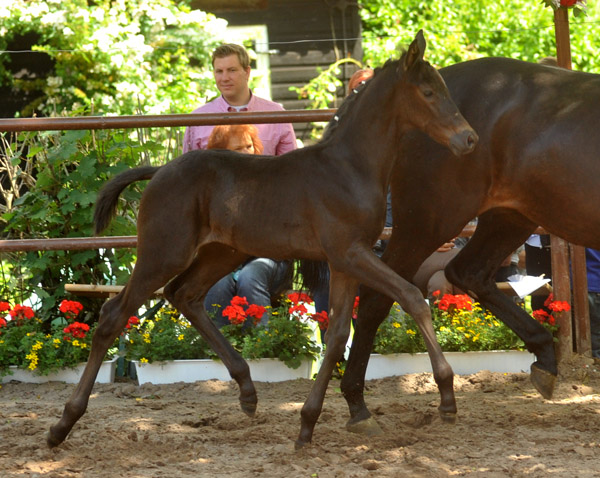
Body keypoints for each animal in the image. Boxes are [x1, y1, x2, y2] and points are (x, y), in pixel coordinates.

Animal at [47, 31, 478, 450]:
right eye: (428, 92)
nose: (470, 139)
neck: (348, 168)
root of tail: (159, 172)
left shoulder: (344, 260)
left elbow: (338, 333)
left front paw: (309, 424)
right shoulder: (350, 253)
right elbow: (412, 298)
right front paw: (446, 396)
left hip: (222, 252)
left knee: (184, 295)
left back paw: (247, 389)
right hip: (163, 253)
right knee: (113, 315)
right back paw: (62, 424)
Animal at [340, 57, 600, 436]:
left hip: (509, 217)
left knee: (467, 273)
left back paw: (544, 358)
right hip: (429, 221)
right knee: (380, 296)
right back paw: (358, 404)